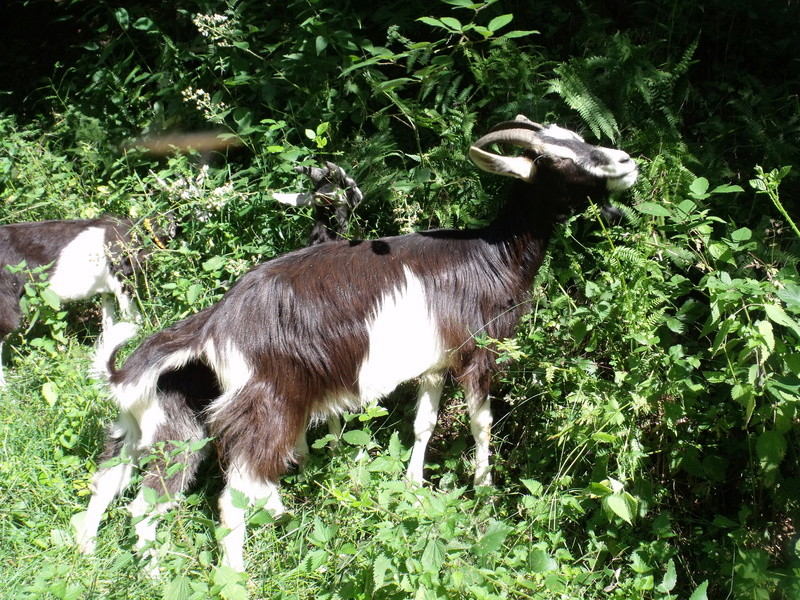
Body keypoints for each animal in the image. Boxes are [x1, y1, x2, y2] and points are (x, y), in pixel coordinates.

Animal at [75, 117, 636, 572]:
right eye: (550, 157)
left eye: (577, 139)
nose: (625, 162)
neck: (489, 254)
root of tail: (214, 326)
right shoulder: (477, 351)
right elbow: (481, 421)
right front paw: (484, 488)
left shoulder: (433, 361)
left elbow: (423, 422)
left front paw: (413, 486)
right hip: (266, 410)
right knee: (229, 498)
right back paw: (235, 573)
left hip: (159, 423)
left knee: (114, 486)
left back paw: (91, 552)